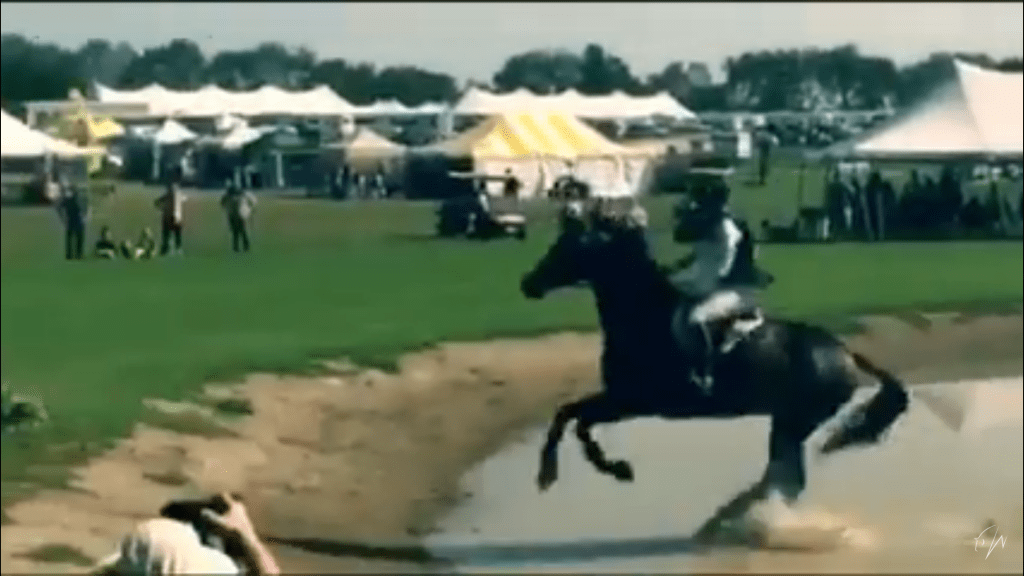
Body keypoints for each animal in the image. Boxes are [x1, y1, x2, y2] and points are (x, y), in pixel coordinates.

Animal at [519, 220, 910, 519]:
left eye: (569, 248)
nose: (527, 284)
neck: (643, 317)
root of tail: (845, 351)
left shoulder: (634, 401)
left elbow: (580, 424)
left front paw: (611, 471)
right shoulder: (620, 398)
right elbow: (566, 414)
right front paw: (548, 474)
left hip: (796, 420)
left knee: (788, 476)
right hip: (785, 420)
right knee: (785, 475)